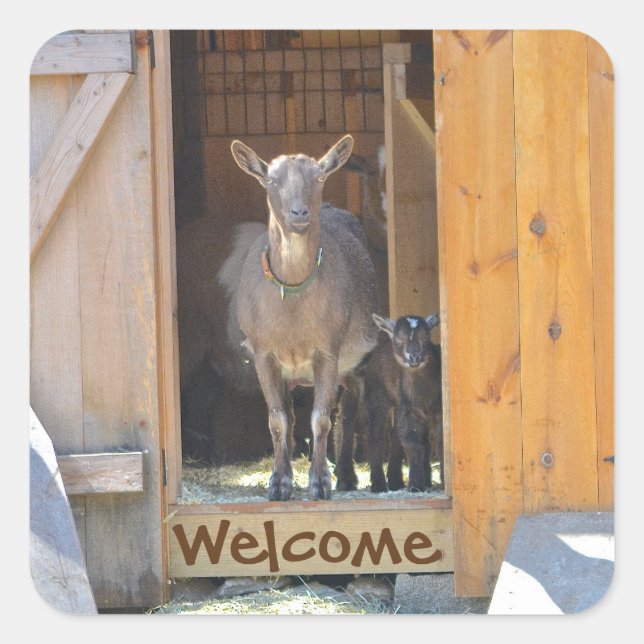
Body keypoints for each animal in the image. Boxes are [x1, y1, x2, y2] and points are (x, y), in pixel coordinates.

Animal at [230, 135, 379, 500]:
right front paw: (278, 483)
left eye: (320, 176)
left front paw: (319, 483)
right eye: (271, 179)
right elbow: (278, 420)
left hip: (357, 361)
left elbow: (321, 419)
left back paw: (346, 475)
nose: (299, 213)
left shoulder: (328, 348)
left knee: (349, 410)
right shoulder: (263, 352)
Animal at [365, 313, 443, 493]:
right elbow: (412, 444)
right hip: (377, 395)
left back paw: (396, 481)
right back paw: (379, 484)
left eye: (425, 338)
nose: (414, 357)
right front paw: (415, 485)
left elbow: (441, 442)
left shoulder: (438, 411)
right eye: (400, 340)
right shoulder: (408, 409)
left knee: (395, 435)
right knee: (376, 435)